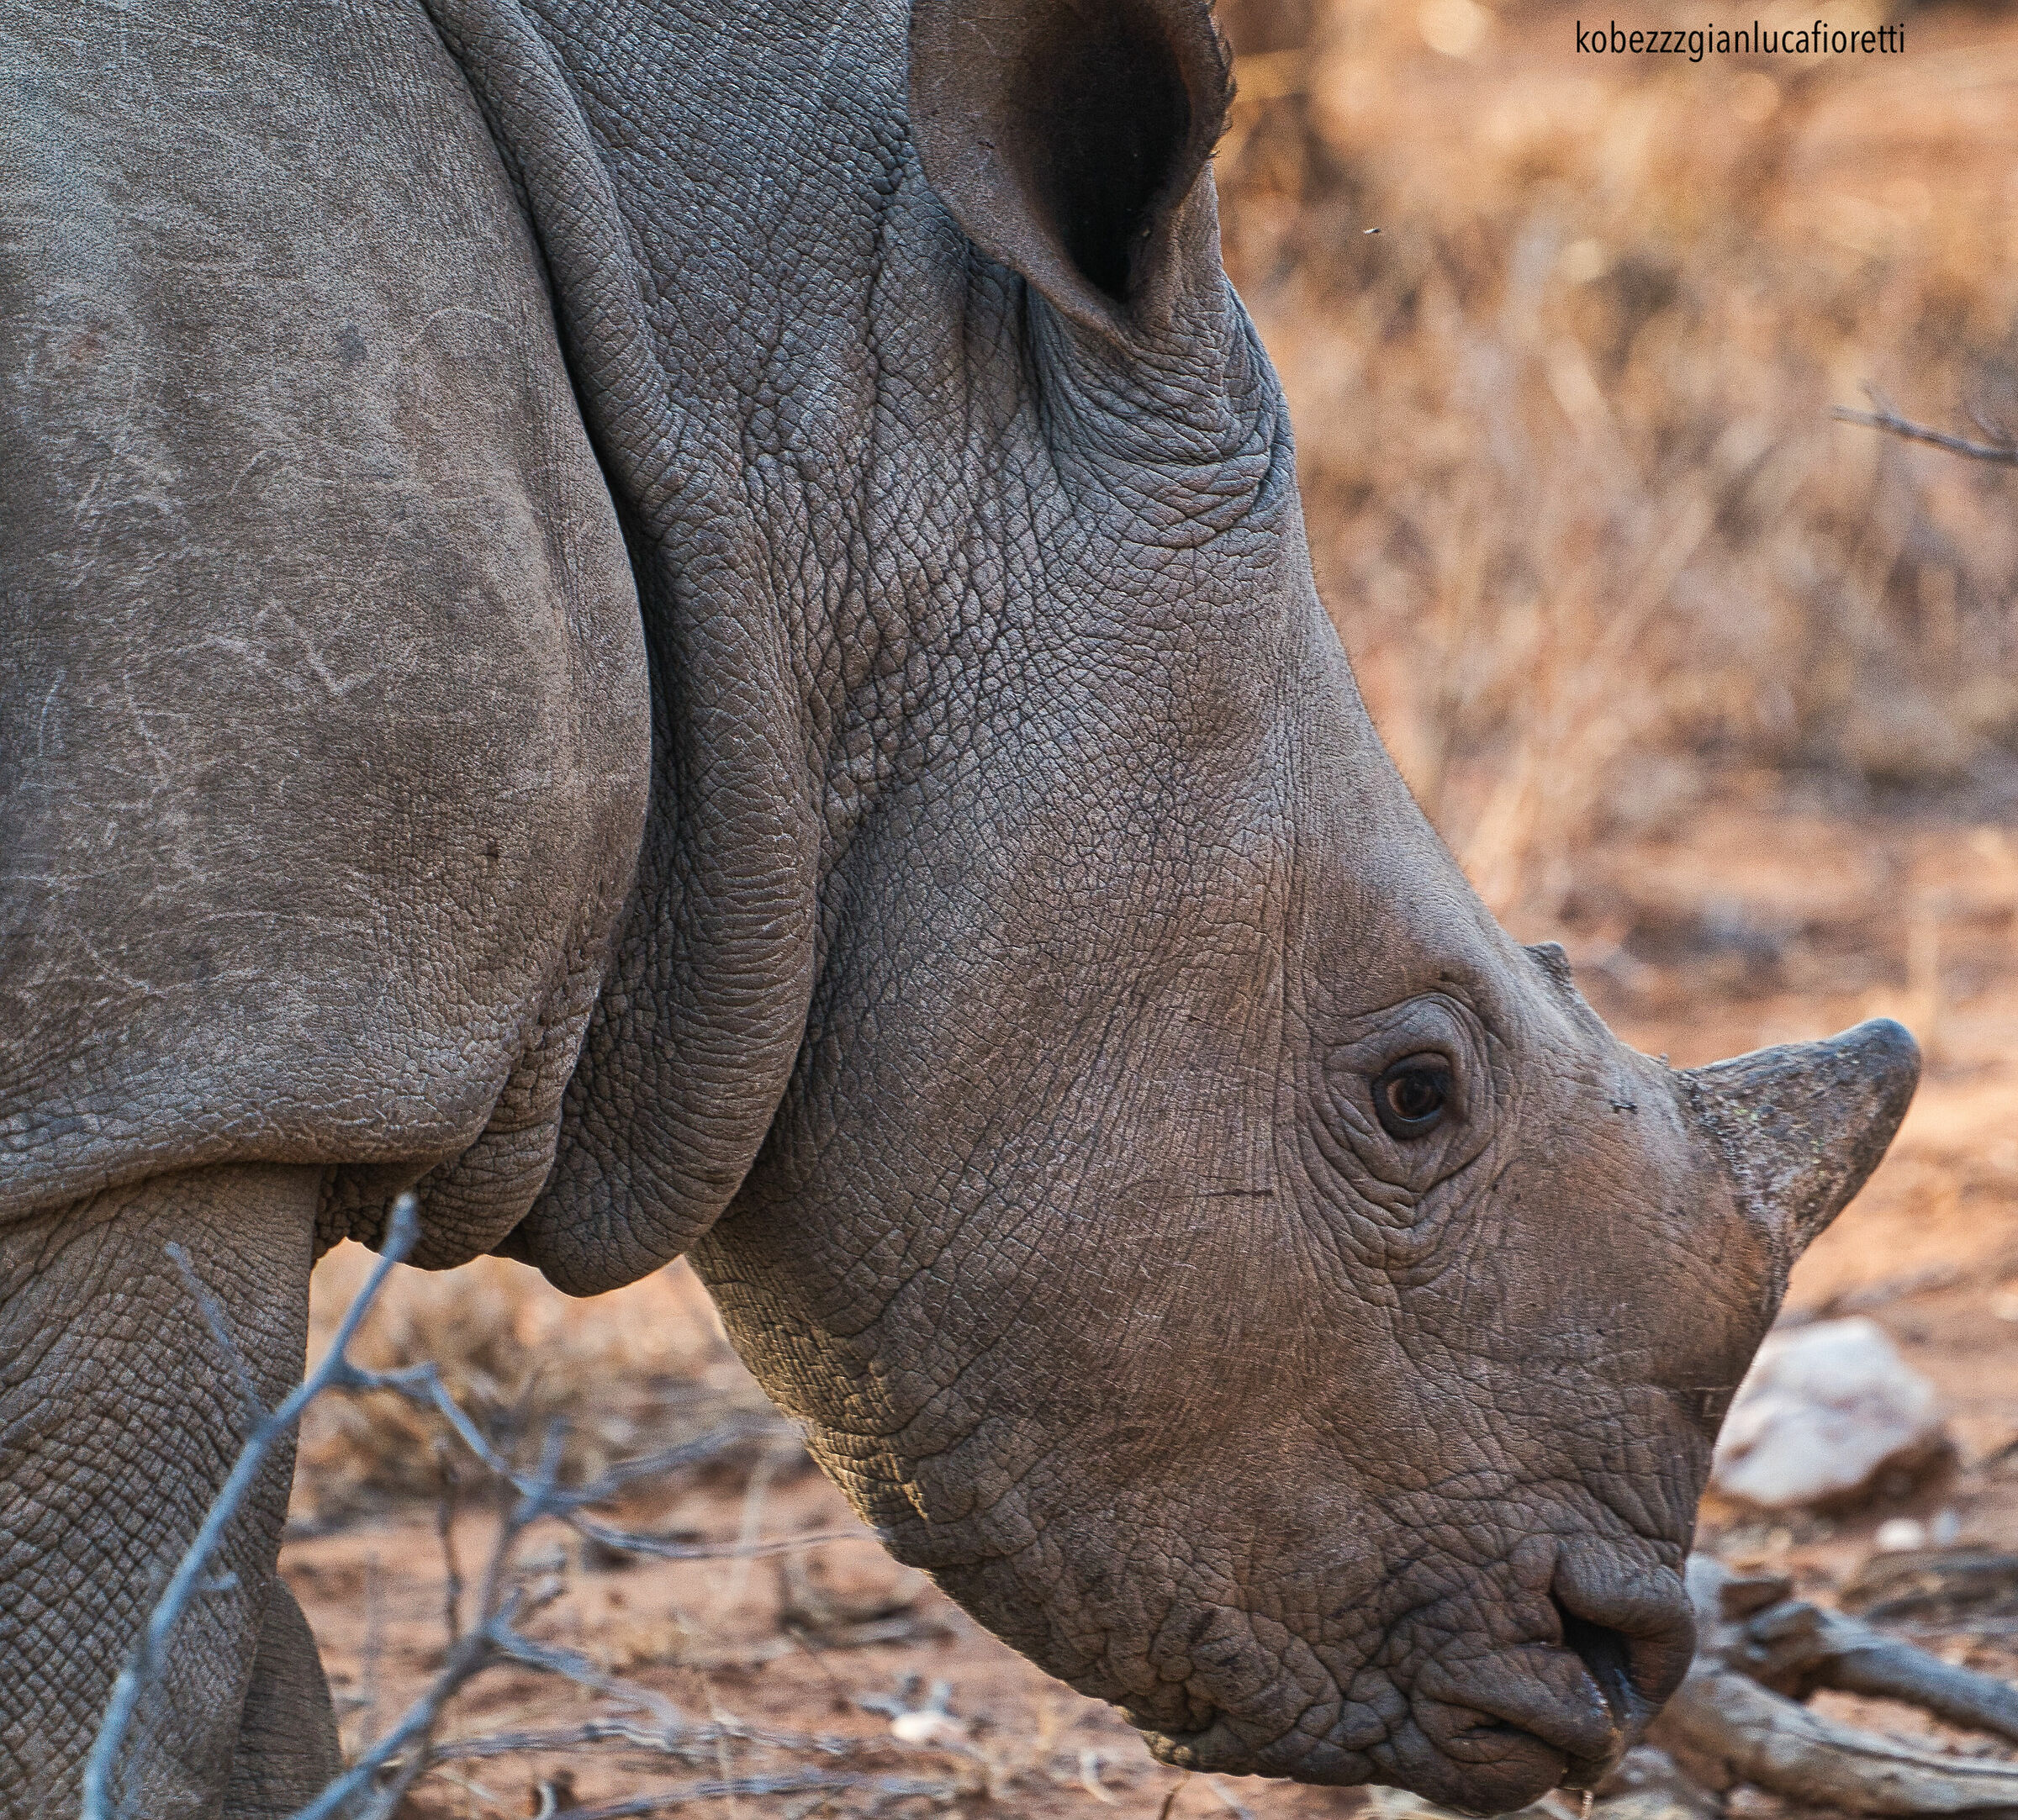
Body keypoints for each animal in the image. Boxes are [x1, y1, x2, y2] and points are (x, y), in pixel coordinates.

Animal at [0, 0, 1918, 1813]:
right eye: (1415, 1093)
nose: (1617, 1658)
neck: (795, 388)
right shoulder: (175, 1094)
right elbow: (123, 1702)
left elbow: (259, 1702)